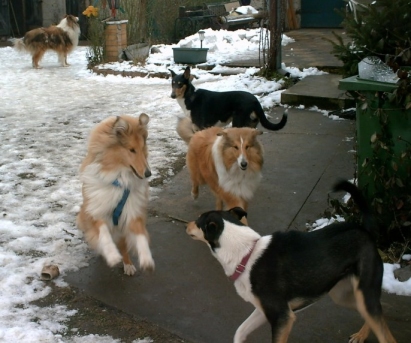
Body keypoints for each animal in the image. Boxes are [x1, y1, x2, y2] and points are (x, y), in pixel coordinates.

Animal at [76, 115, 155, 276]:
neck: (119, 179)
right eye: (131, 150)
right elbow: (103, 233)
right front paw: (112, 255)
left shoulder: (132, 212)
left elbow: (141, 236)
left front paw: (146, 259)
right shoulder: (95, 211)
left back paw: (128, 264)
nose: (148, 174)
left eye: (143, 148)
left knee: (123, 245)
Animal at [186, 181, 396, 342]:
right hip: (344, 295)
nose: (187, 225)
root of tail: (365, 231)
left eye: (198, 220)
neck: (245, 253)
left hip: (362, 296)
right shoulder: (266, 311)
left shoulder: (282, 318)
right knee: (381, 314)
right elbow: (240, 331)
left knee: (386, 334)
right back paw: (361, 335)